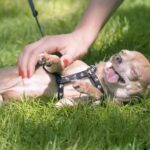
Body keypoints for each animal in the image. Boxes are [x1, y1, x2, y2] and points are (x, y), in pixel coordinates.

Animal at [0, 49, 149, 106]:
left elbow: (99, 95)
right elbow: (59, 64)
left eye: (134, 73)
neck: (97, 79)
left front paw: (84, 86)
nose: (117, 57)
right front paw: (49, 59)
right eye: (122, 52)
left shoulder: (81, 103)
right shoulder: (64, 68)